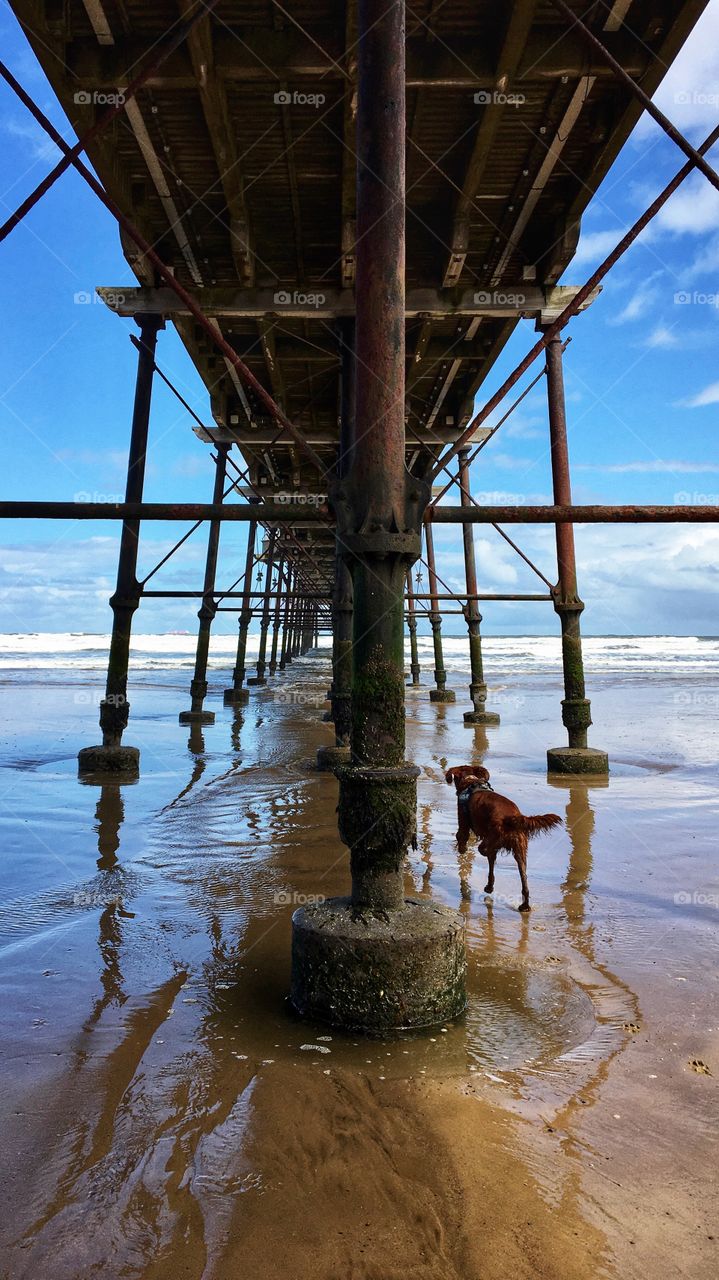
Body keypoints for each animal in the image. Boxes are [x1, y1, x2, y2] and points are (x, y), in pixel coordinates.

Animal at [442, 762, 560, 906]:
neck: (471, 781)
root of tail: (512, 817)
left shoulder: (463, 820)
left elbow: (461, 837)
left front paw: (462, 849)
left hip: (491, 839)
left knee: (486, 852)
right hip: (520, 850)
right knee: (523, 878)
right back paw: (523, 904)